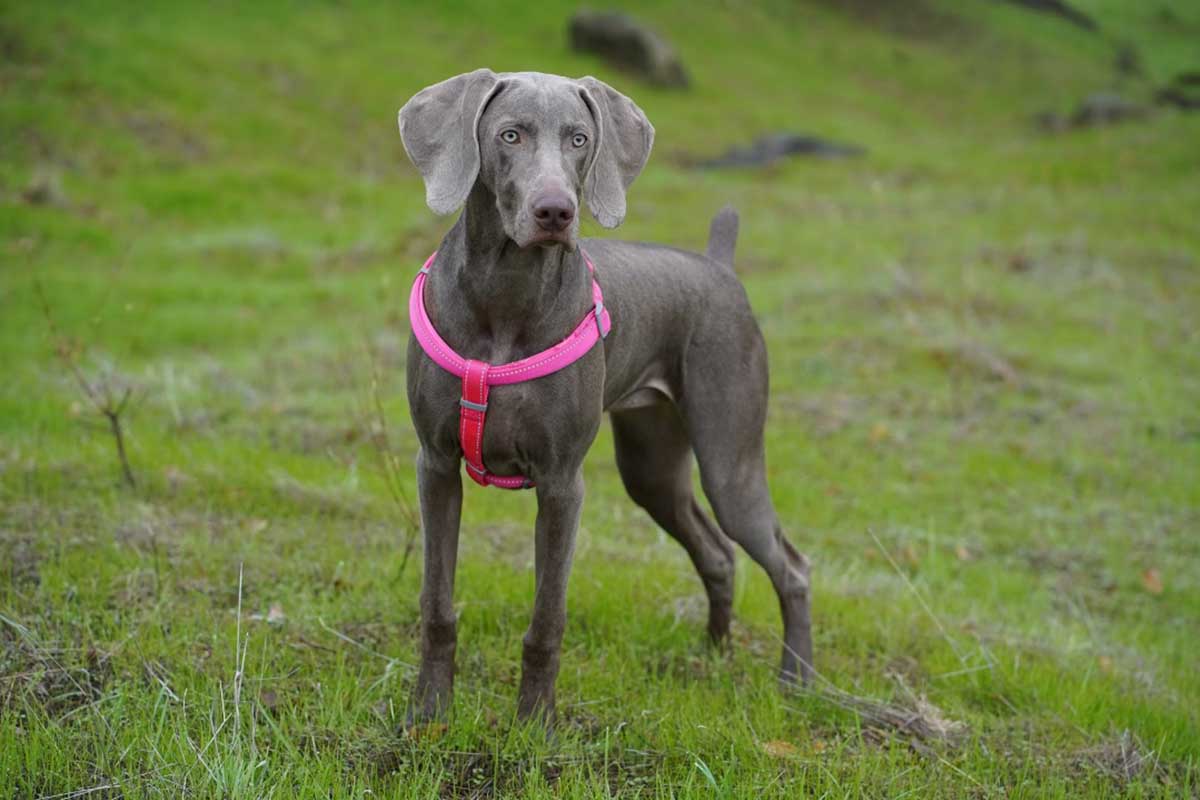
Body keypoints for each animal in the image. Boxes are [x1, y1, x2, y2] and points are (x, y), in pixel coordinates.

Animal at [398, 68, 811, 724]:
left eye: (579, 138)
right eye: (510, 134)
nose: (555, 211)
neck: (505, 295)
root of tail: (720, 268)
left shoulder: (562, 484)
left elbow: (547, 621)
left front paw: (535, 726)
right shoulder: (436, 466)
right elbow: (437, 603)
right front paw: (430, 712)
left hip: (730, 460)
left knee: (790, 565)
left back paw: (796, 682)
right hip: (651, 467)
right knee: (718, 553)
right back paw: (713, 654)